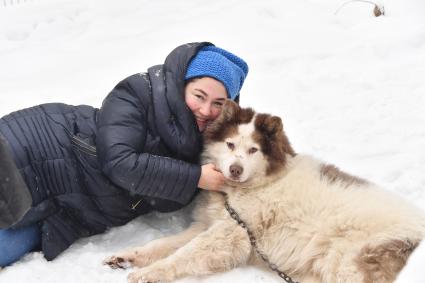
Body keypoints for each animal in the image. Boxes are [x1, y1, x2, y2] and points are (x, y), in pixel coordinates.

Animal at [103, 101, 424, 282]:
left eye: (253, 150)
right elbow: (164, 244)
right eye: (230, 144)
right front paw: (127, 257)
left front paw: (148, 274)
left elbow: (185, 253)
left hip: (355, 261)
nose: (235, 169)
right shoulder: (208, 225)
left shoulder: (229, 235)